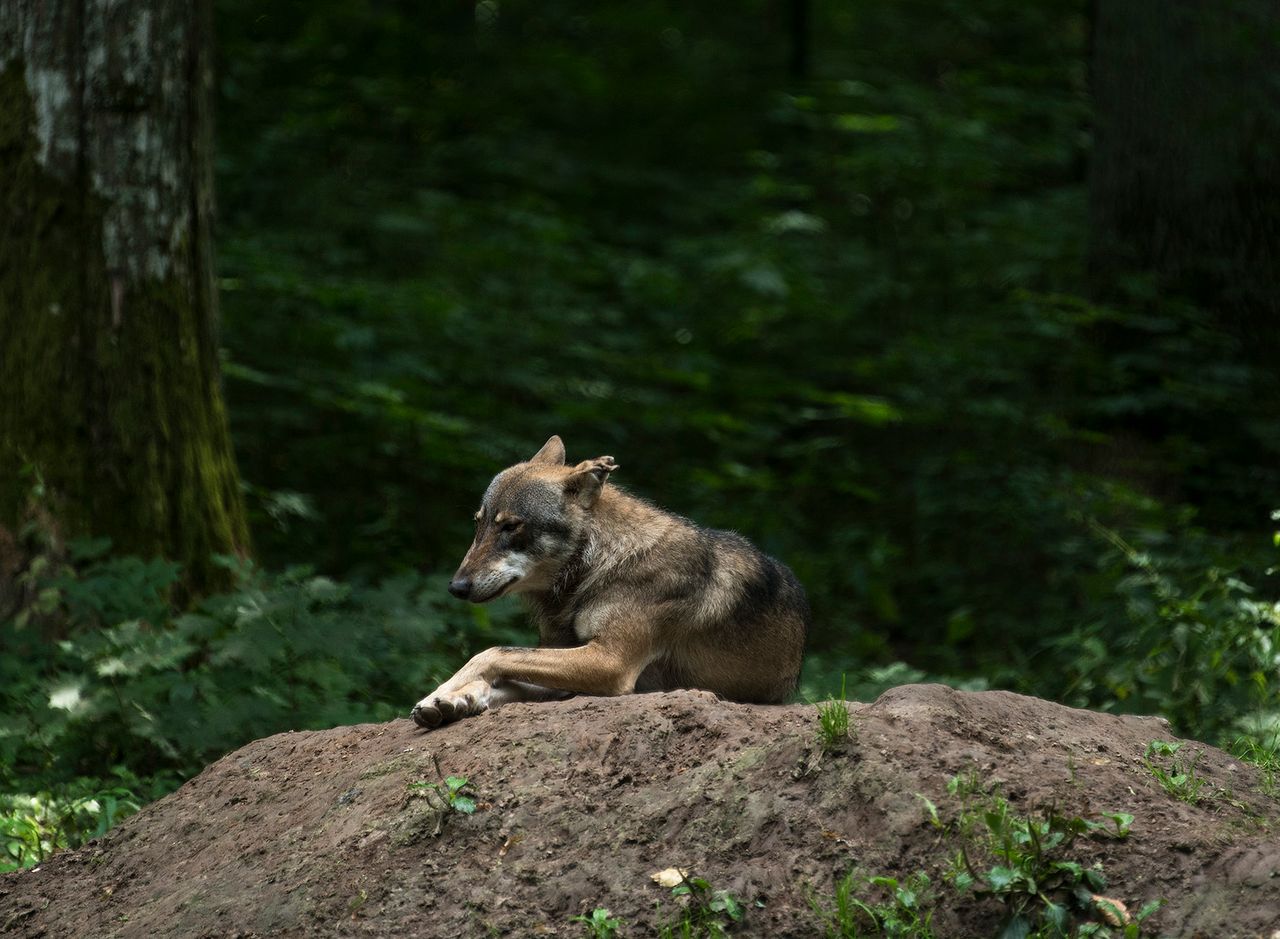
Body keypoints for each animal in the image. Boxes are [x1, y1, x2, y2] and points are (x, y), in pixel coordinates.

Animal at [409, 437, 808, 731]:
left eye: (511, 526)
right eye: (479, 524)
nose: (456, 587)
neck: (601, 565)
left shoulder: (610, 663)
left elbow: (491, 653)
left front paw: (443, 691)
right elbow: (501, 673)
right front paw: (453, 700)